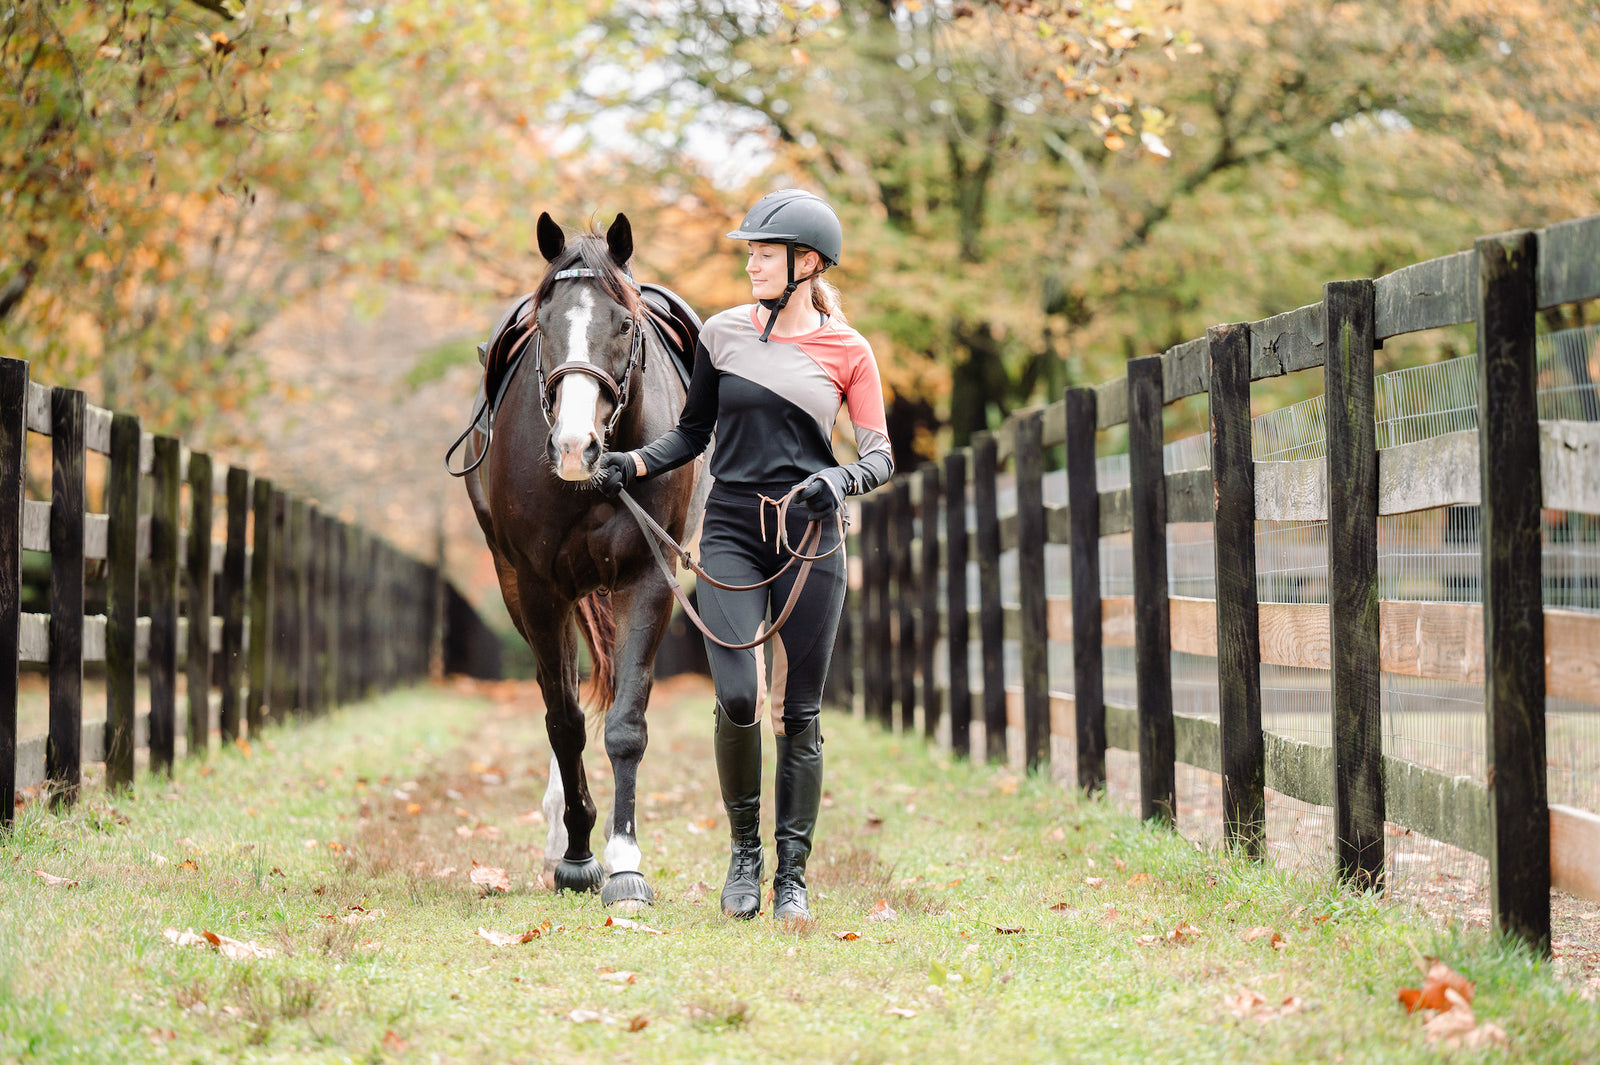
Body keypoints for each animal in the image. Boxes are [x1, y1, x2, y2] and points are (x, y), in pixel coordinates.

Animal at [467, 214, 710, 901]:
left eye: (624, 324)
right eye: (545, 325)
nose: (575, 446)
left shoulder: (650, 580)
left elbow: (625, 725)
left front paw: (625, 861)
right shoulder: (538, 586)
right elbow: (566, 721)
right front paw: (577, 853)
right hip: (520, 587)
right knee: (558, 696)